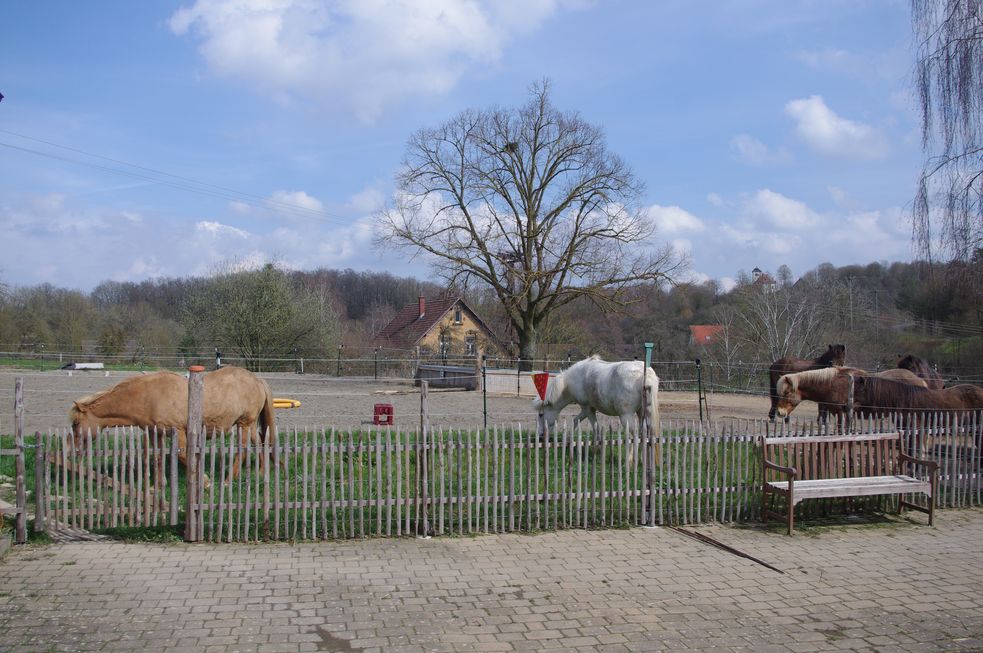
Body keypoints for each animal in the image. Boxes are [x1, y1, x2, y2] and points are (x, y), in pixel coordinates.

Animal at [71, 364, 274, 482]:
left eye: (75, 424)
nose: (74, 450)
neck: (149, 397)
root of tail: (257, 380)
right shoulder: (157, 433)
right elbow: (158, 457)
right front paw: (159, 486)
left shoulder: (179, 431)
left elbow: (183, 456)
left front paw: (204, 480)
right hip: (249, 425)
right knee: (260, 442)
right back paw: (262, 472)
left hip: (244, 424)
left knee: (242, 450)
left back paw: (227, 480)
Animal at [532, 354, 660, 440]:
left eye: (541, 414)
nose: (540, 436)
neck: (569, 382)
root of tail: (644, 374)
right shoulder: (587, 409)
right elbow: (576, 420)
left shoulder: (588, 409)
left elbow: (595, 427)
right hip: (642, 412)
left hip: (626, 415)